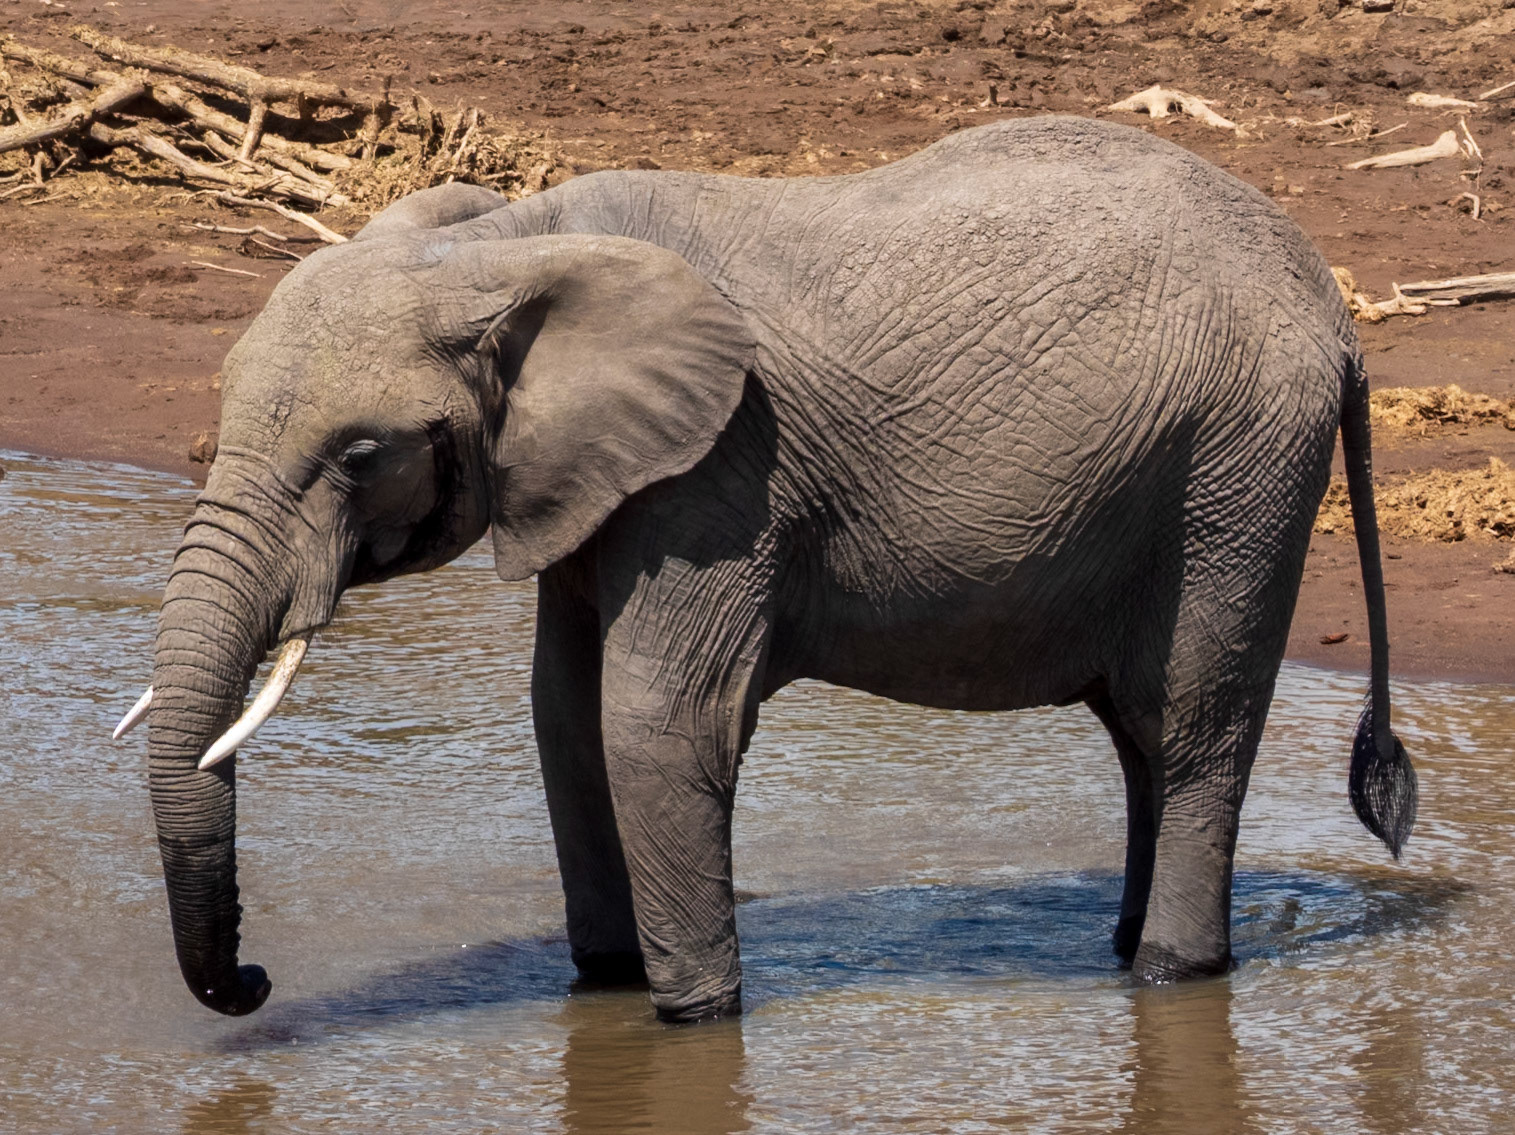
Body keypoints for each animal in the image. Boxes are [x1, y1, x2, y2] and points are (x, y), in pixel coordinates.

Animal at [116, 116, 1417, 1023]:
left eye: (358, 456)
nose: (257, 980)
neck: (507, 243)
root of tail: (1337, 308)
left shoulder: (723, 470)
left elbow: (654, 720)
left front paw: (693, 1018)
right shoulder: (597, 478)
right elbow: (565, 716)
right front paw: (602, 988)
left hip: (1239, 466)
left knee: (1192, 725)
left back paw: (1168, 970)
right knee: (1143, 735)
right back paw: (1124, 944)